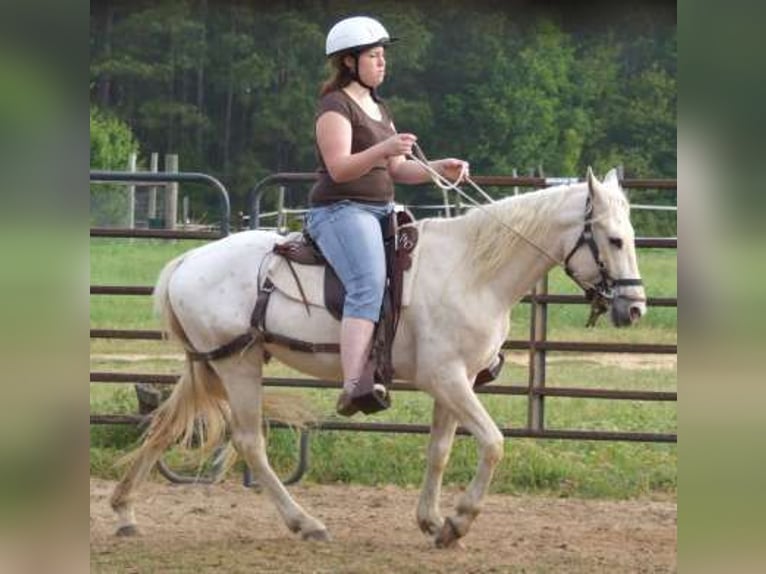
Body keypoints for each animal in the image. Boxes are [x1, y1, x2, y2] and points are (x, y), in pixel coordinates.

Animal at [109, 166, 648, 548]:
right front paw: (459, 520)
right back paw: (305, 523)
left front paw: (432, 521)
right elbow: (493, 443)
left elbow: (439, 450)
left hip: (213, 364)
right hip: (237, 366)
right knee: (249, 443)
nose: (635, 307)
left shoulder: (455, 382)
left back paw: (125, 510)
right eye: (614, 239)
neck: (471, 271)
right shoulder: (446, 379)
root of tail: (185, 261)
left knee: (167, 423)